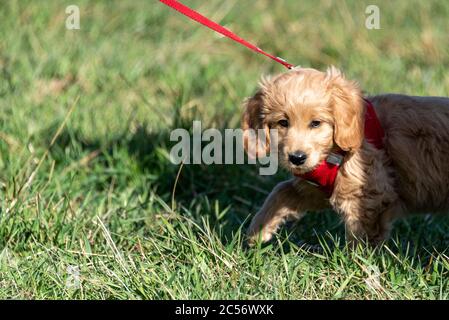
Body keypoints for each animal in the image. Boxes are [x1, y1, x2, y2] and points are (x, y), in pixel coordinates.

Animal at [242, 66, 448, 246]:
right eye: (283, 122)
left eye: (316, 123)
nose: (297, 158)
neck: (335, 152)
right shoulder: (320, 189)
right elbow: (281, 190)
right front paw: (257, 230)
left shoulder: (369, 194)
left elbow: (360, 236)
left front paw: (357, 264)